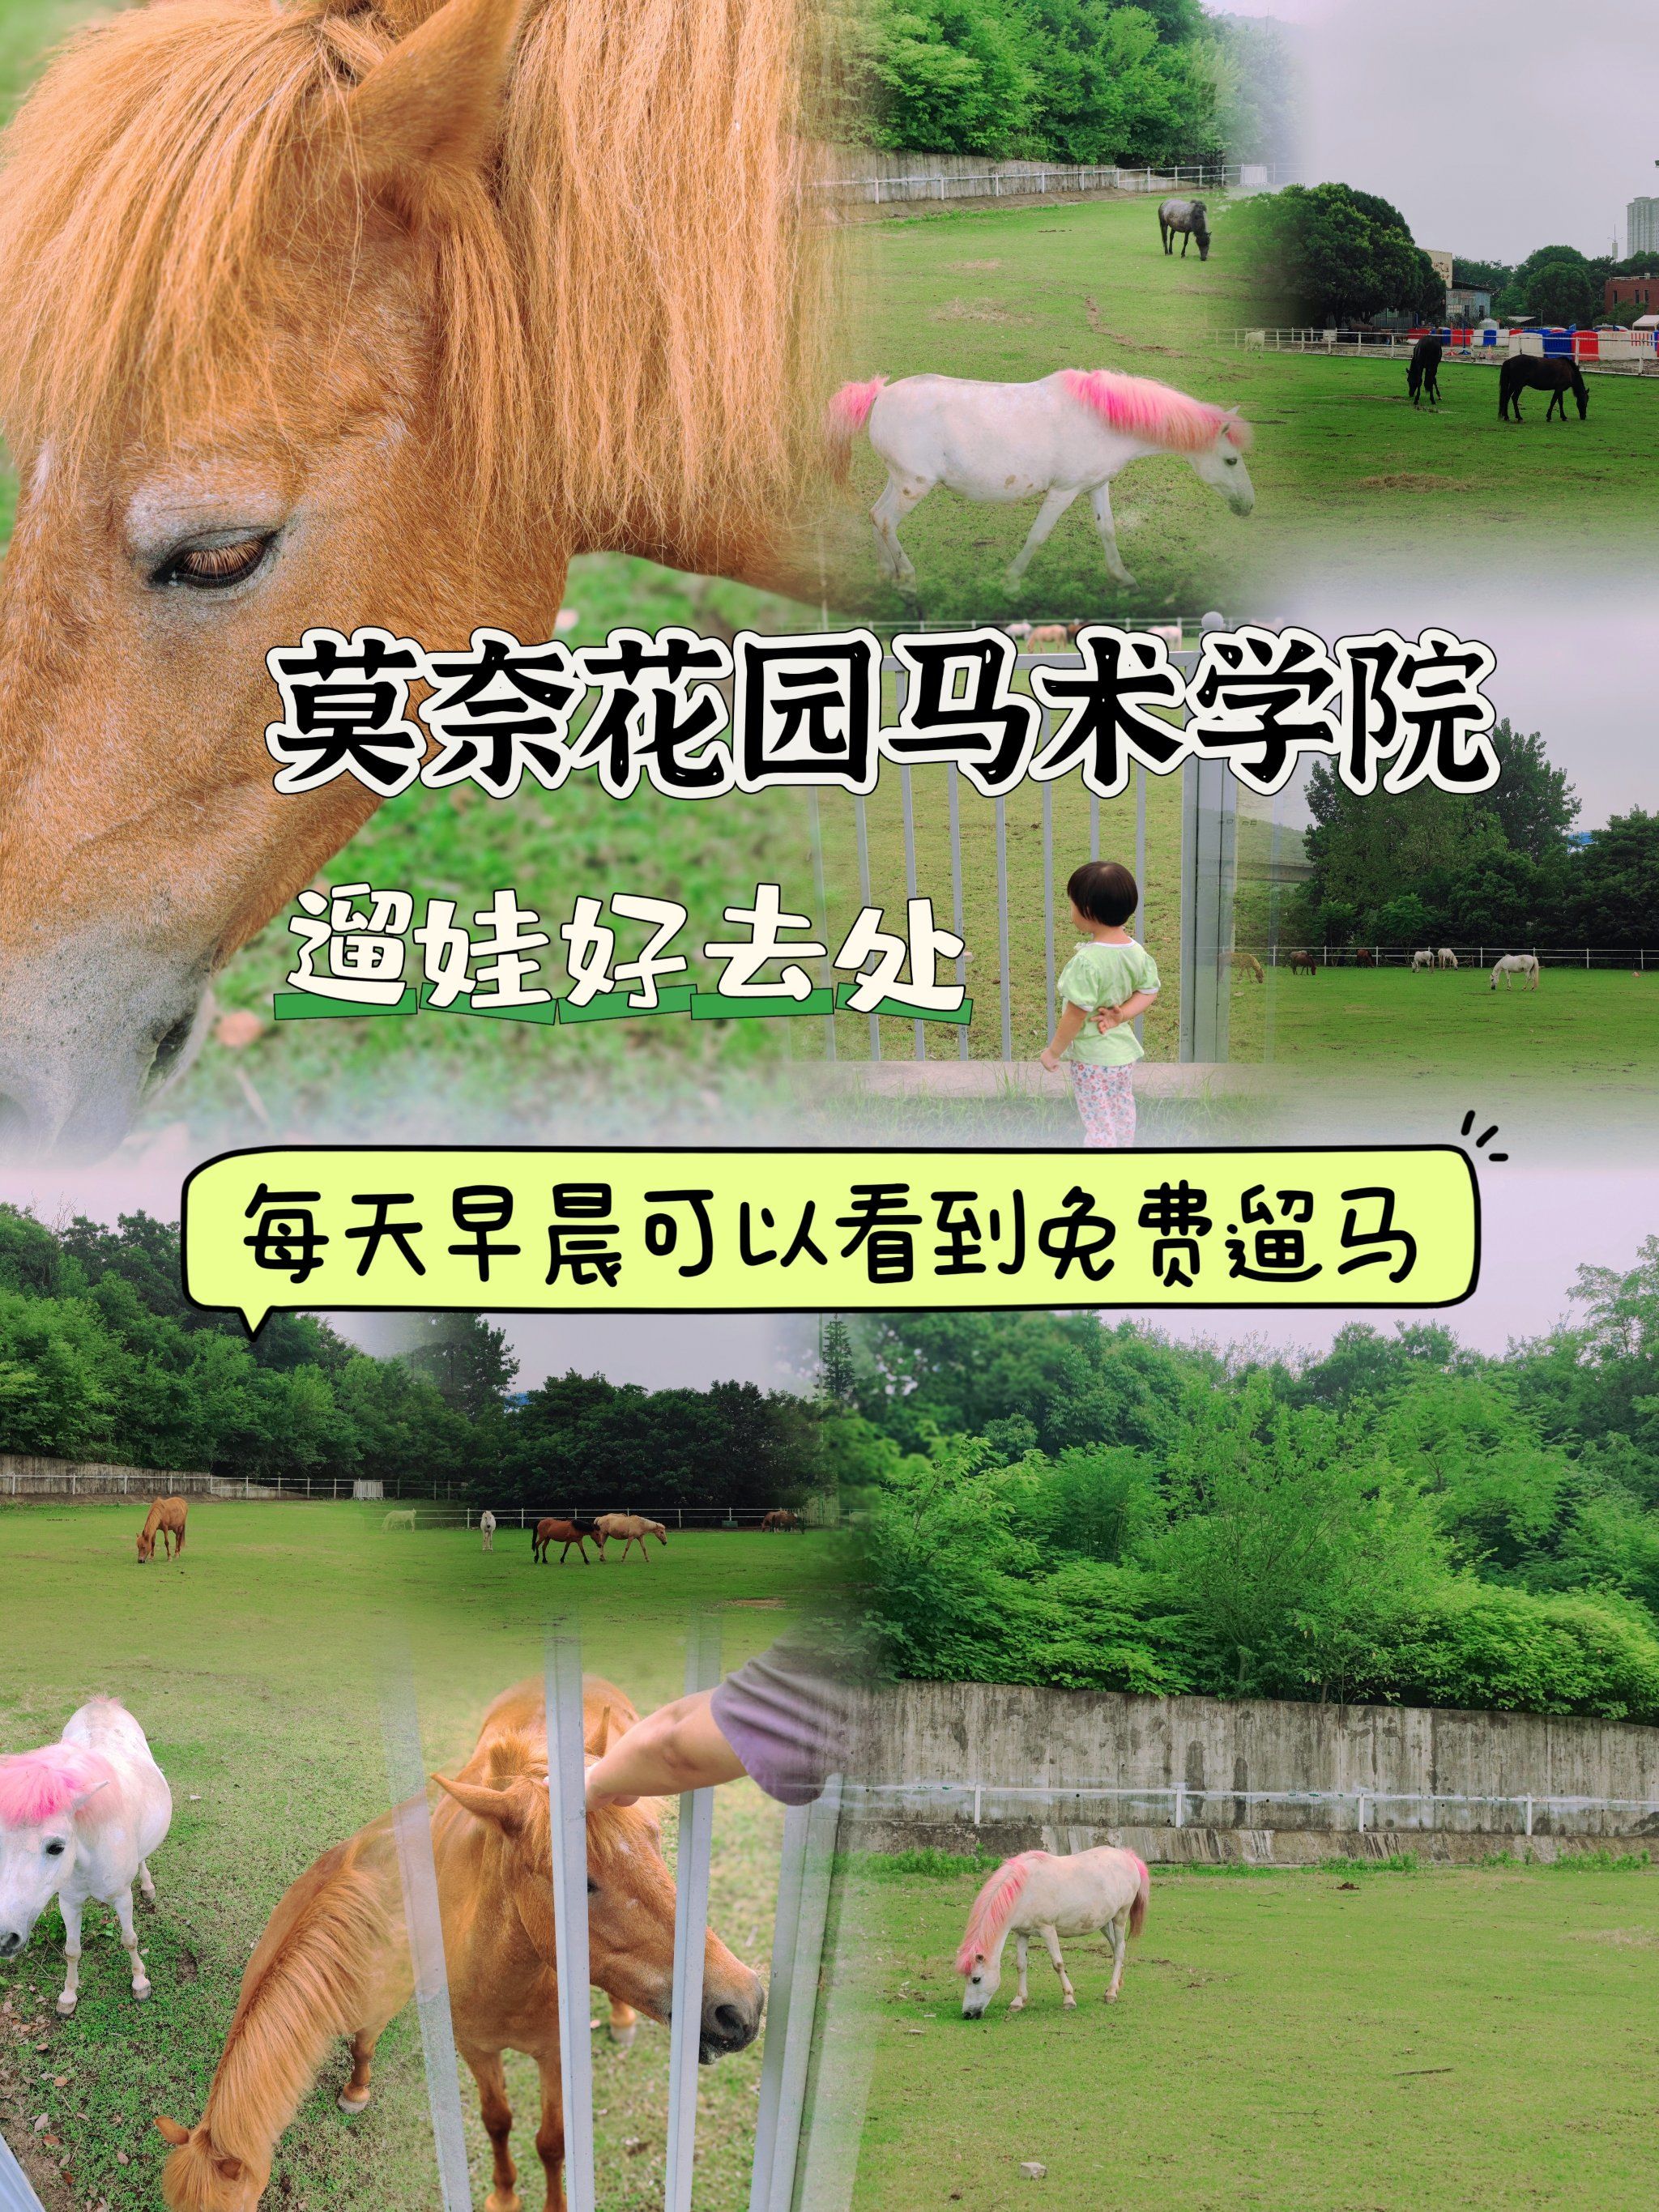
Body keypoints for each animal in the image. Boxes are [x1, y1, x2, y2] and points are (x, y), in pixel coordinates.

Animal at [0, 1699, 172, 2016]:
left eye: (56, 1847)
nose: (5, 1938)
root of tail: (102, 1702)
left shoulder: (122, 1897)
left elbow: (129, 1940)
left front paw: (140, 1982)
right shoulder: (68, 1902)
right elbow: (72, 1950)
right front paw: (68, 1996)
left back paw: (147, 1886)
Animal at [154, 1678, 761, 2212]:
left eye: (656, 1843)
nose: (742, 2006)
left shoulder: (548, 2053)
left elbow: (550, 2140)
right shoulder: (469, 2044)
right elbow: (493, 2119)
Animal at [827, 368, 1253, 594]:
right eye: (1231, 460)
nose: (1248, 506)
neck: (1102, 420)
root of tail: (882, 394)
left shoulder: (1097, 486)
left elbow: (1108, 530)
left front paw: (1123, 577)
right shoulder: (1064, 492)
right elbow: (1038, 535)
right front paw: (1012, 582)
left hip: (900, 480)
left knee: (876, 516)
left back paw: (887, 573)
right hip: (914, 485)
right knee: (886, 521)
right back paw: (908, 579)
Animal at [957, 1848, 1148, 2020]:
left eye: (976, 1979)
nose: (967, 2014)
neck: (1024, 1891)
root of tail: (1128, 1857)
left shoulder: (1047, 1929)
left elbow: (1058, 1964)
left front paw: (1069, 1999)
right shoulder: (1021, 1933)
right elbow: (1021, 1965)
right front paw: (1018, 2002)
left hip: (1120, 1917)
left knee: (1119, 1951)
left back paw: (1111, 1994)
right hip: (1105, 1923)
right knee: (1116, 1948)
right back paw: (1114, 1986)